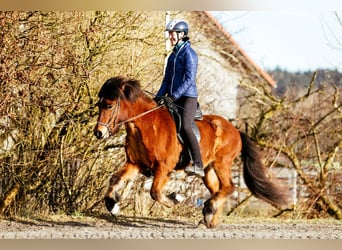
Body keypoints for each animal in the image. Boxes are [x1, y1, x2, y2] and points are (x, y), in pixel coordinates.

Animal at [93, 75, 288, 228]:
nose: (99, 133)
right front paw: (112, 205)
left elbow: (155, 192)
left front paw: (175, 198)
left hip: (222, 163)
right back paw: (210, 219)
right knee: (218, 189)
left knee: (229, 187)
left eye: (109, 106)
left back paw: (209, 209)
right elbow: (115, 179)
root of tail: (235, 130)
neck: (145, 125)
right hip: (208, 170)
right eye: (99, 105)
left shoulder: (164, 167)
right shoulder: (135, 164)